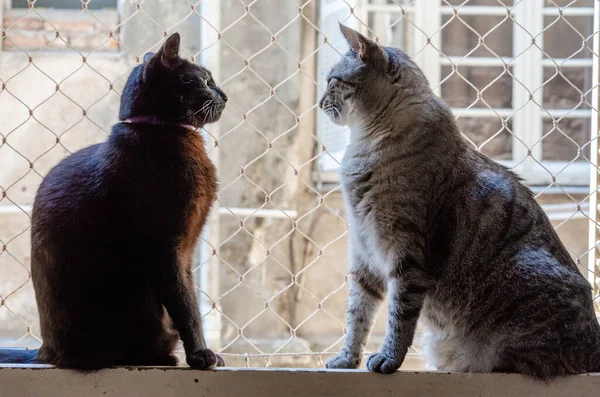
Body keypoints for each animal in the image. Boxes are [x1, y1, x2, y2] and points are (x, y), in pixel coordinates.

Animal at [0, 32, 227, 370]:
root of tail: (43, 351)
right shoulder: (168, 247)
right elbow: (186, 306)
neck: (158, 130)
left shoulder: (187, 250)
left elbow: (189, 298)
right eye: (204, 80)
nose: (224, 95)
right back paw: (161, 356)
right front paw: (201, 355)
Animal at [322, 22, 600, 380]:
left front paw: (387, 360)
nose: (319, 103)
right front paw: (346, 360)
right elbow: (358, 316)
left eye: (332, 80)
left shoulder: (406, 256)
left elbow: (399, 320)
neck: (364, 144)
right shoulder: (363, 252)